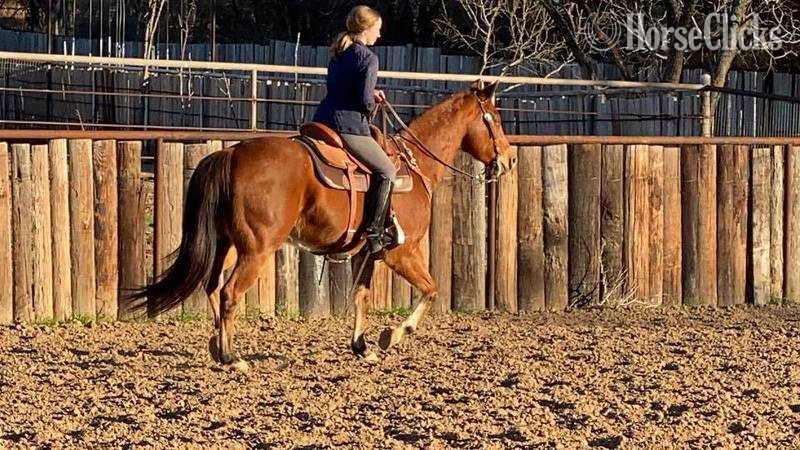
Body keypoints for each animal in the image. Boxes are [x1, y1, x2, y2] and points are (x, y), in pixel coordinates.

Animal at [130, 80, 516, 371]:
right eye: (495, 120)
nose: (510, 159)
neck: (414, 165)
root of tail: (231, 153)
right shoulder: (401, 252)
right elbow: (431, 289)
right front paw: (393, 334)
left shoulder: (368, 253)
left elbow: (361, 295)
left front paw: (362, 346)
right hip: (256, 250)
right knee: (230, 293)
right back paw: (232, 356)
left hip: (227, 245)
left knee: (211, 287)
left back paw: (217, 344)